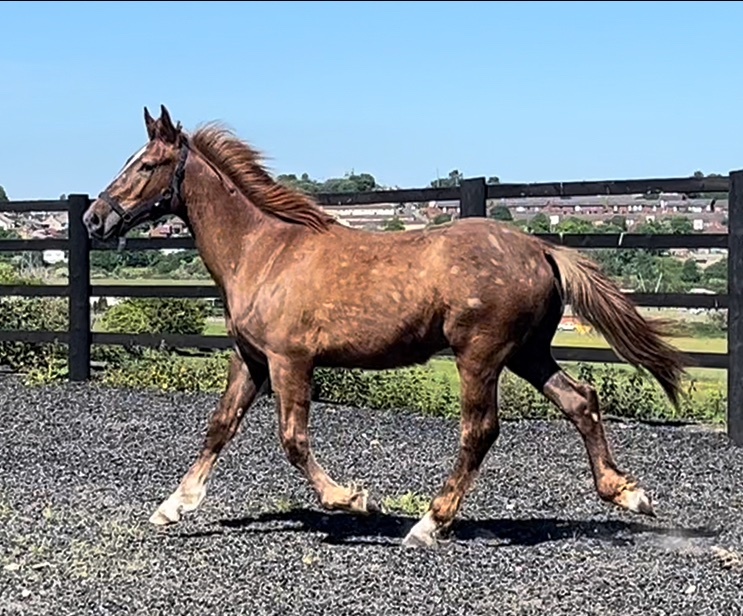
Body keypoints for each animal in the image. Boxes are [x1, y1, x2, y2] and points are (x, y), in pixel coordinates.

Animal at [83, 105, 688, 548]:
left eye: (145, 165)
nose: (94, 217)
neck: (263, 251)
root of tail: (541, 248)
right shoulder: (250, 359)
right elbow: (219, 426)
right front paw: (172, 506)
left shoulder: (289, 360)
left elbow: (293, 441)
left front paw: (355, 499)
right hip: (527, 352)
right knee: (581, 401)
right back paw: (628, 493)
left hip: (481, 355)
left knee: (480, 431)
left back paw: (428, 523)